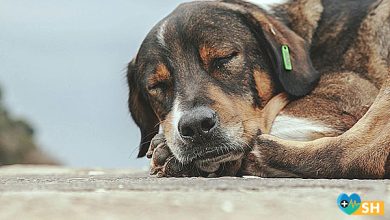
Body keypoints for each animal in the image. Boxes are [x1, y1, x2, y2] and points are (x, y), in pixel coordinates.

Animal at [126, 0, 388, 178]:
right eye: (157, 86)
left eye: (225, 58)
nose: (196, 126)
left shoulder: (351, 92)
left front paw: (168, 150)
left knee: (351, 154)